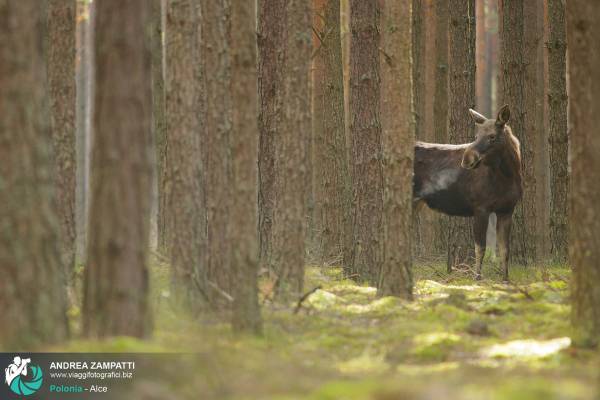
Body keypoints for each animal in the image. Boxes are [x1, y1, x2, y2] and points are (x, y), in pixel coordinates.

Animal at [414, 106, 524, 282]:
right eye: (476, 136)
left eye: (492, 136)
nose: (466, 159)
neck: (508, 176)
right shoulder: (480, 207)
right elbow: (480, 247)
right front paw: (477, 277)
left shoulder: (507, 210)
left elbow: (505, 249)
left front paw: (506, 279)